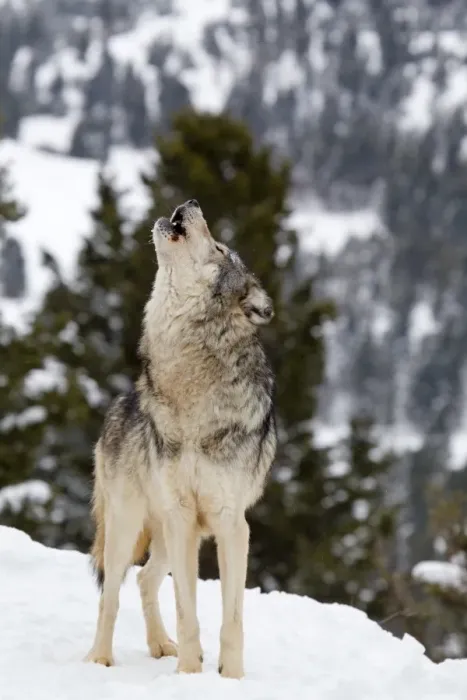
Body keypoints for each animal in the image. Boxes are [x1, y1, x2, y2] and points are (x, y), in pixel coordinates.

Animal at [84, 199, 277, 679]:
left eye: (221, 248)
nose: (190, 203)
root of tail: (121, 403)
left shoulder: (230, 524)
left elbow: (231, 620)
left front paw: (231, 678)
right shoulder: (183, 518)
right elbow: (187, 611)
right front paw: (190, 674)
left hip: (169, 535)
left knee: (143, 579)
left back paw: (159, 645)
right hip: (130, 526)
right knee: (110, 594)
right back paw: (100, 658)